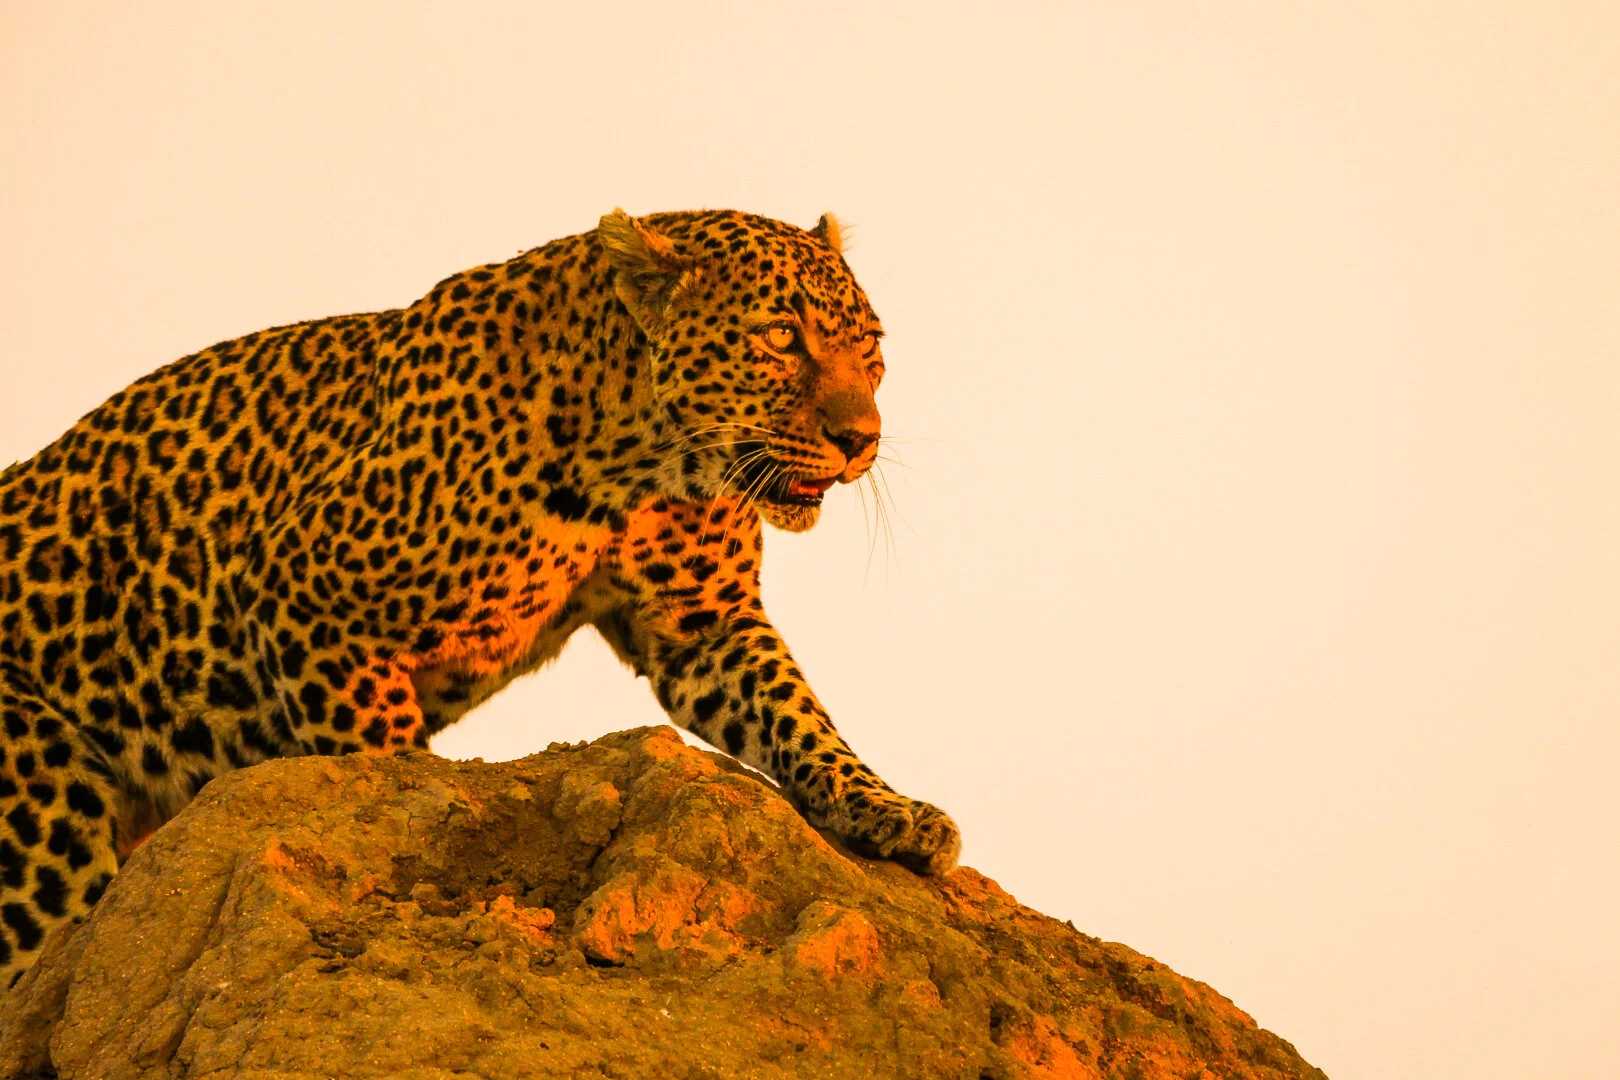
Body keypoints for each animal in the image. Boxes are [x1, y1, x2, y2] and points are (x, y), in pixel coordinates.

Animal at [0, 208, 961, 987]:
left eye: (871, 348)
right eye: (780, 337)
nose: (860, 438)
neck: (641, 459)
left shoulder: (703, 624)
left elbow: (798, 715)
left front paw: (890, 811)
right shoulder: (301, 597)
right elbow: (383, 753)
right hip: (41, 805)